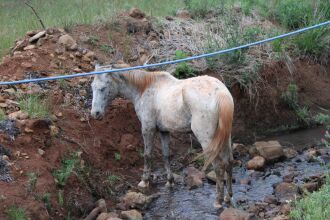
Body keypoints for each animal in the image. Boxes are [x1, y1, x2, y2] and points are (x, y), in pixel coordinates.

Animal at [90, 64, 235, 208]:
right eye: (92, 87)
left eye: (103, 88)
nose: (95, 113)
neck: (144, 88)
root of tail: (220, 92)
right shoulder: (164, 132)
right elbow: (166, 155)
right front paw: (170, 181)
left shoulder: (147, 129)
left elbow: (147, 155)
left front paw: (144, 181)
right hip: (225, 138)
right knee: (228, 162)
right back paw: (228, 197)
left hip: (207, 139)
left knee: (218, 167)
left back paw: (218, 201)